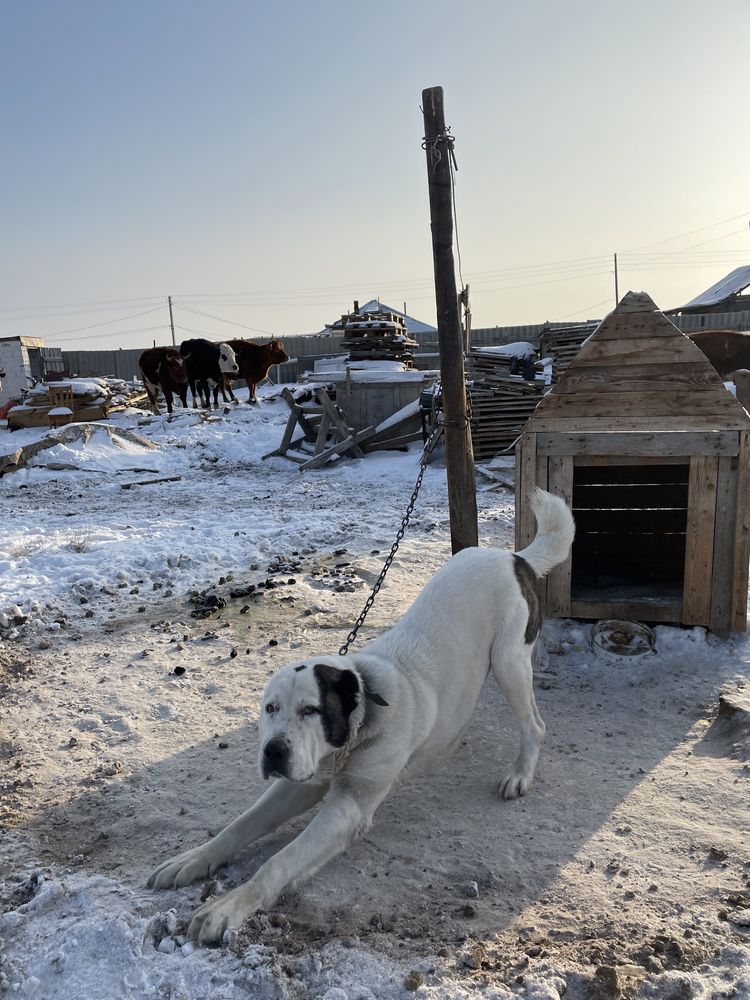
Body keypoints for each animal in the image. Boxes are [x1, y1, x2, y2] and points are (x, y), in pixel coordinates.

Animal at [151, 492, 576, 944]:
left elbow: (281, 860)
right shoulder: (301, 781)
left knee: (534, 724)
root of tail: (515, 557)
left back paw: (520, 774)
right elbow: (241, 825)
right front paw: (192, 860)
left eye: (311, 709)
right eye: (270, 709)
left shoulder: (349, 805)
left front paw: (229, 906)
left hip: (509, 662)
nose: (273, 751)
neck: (358, 725)